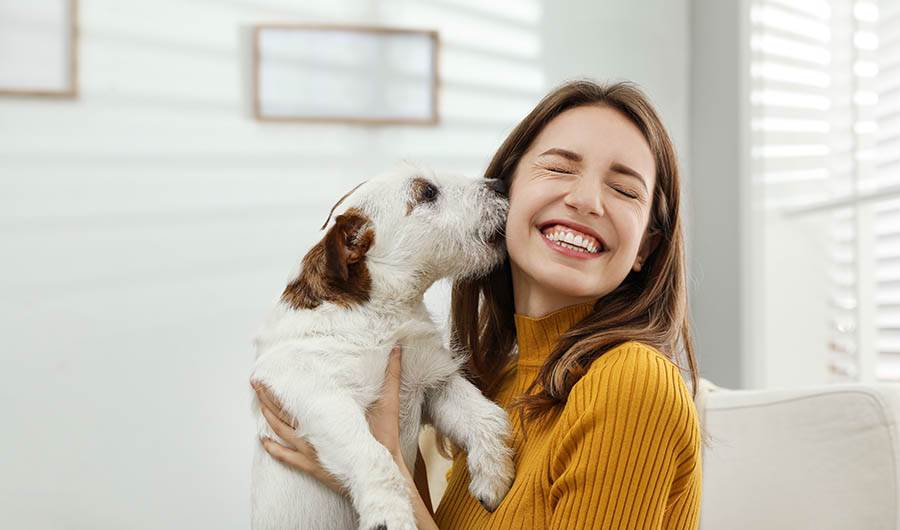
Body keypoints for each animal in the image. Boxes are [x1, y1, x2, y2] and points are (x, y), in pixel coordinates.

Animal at [250, 163, 516, 528]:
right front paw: (389, 514)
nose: (502, 184)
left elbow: (488, 417)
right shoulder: (319, 394)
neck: (382, 315)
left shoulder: (434, 383)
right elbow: (373, 455)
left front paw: (493, 476)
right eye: (427, 192)